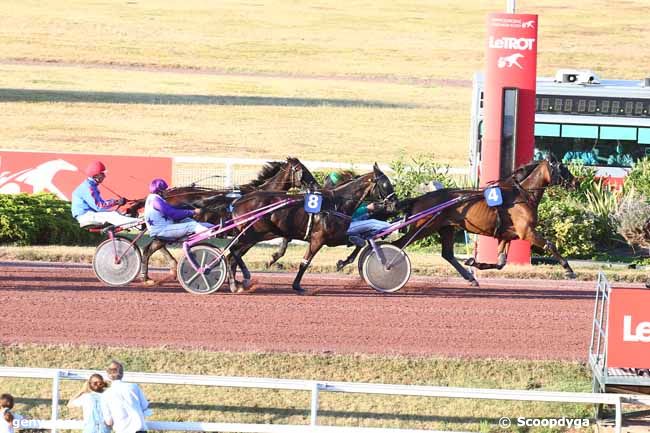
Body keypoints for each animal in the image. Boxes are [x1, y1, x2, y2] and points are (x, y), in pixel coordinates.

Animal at [139, 156, 316, 286]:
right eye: (301, 170)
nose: (315, 184)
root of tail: (167, 194)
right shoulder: (251, 233)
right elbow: (236, 254)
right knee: (150, 248)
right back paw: (148, 276)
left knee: (154, 246)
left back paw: (166, 269)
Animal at [228, 163, 394, 294]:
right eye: (385, 184)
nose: (395, 203)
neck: (336, 204)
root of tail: (238, 202)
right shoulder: (319, 238)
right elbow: (305, 262)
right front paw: (297, 286)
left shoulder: (335, 237)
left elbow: (360, 241)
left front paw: (343, 262)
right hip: (252, 235)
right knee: (232, 253)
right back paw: (242, 279)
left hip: (256, 235)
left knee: (232, 254)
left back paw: (236, 283)